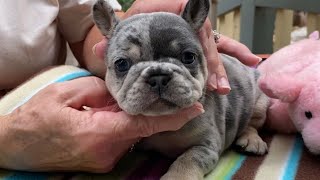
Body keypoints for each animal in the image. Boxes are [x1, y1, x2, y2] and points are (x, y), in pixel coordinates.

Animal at [93, 0, 270, 179]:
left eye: (188, 57)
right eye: (121, 64)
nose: (158, 76)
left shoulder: (206, 146)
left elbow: (188, 159)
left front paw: (177, 175)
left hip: (259, 104)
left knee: (252, 124)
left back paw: (251, 140)